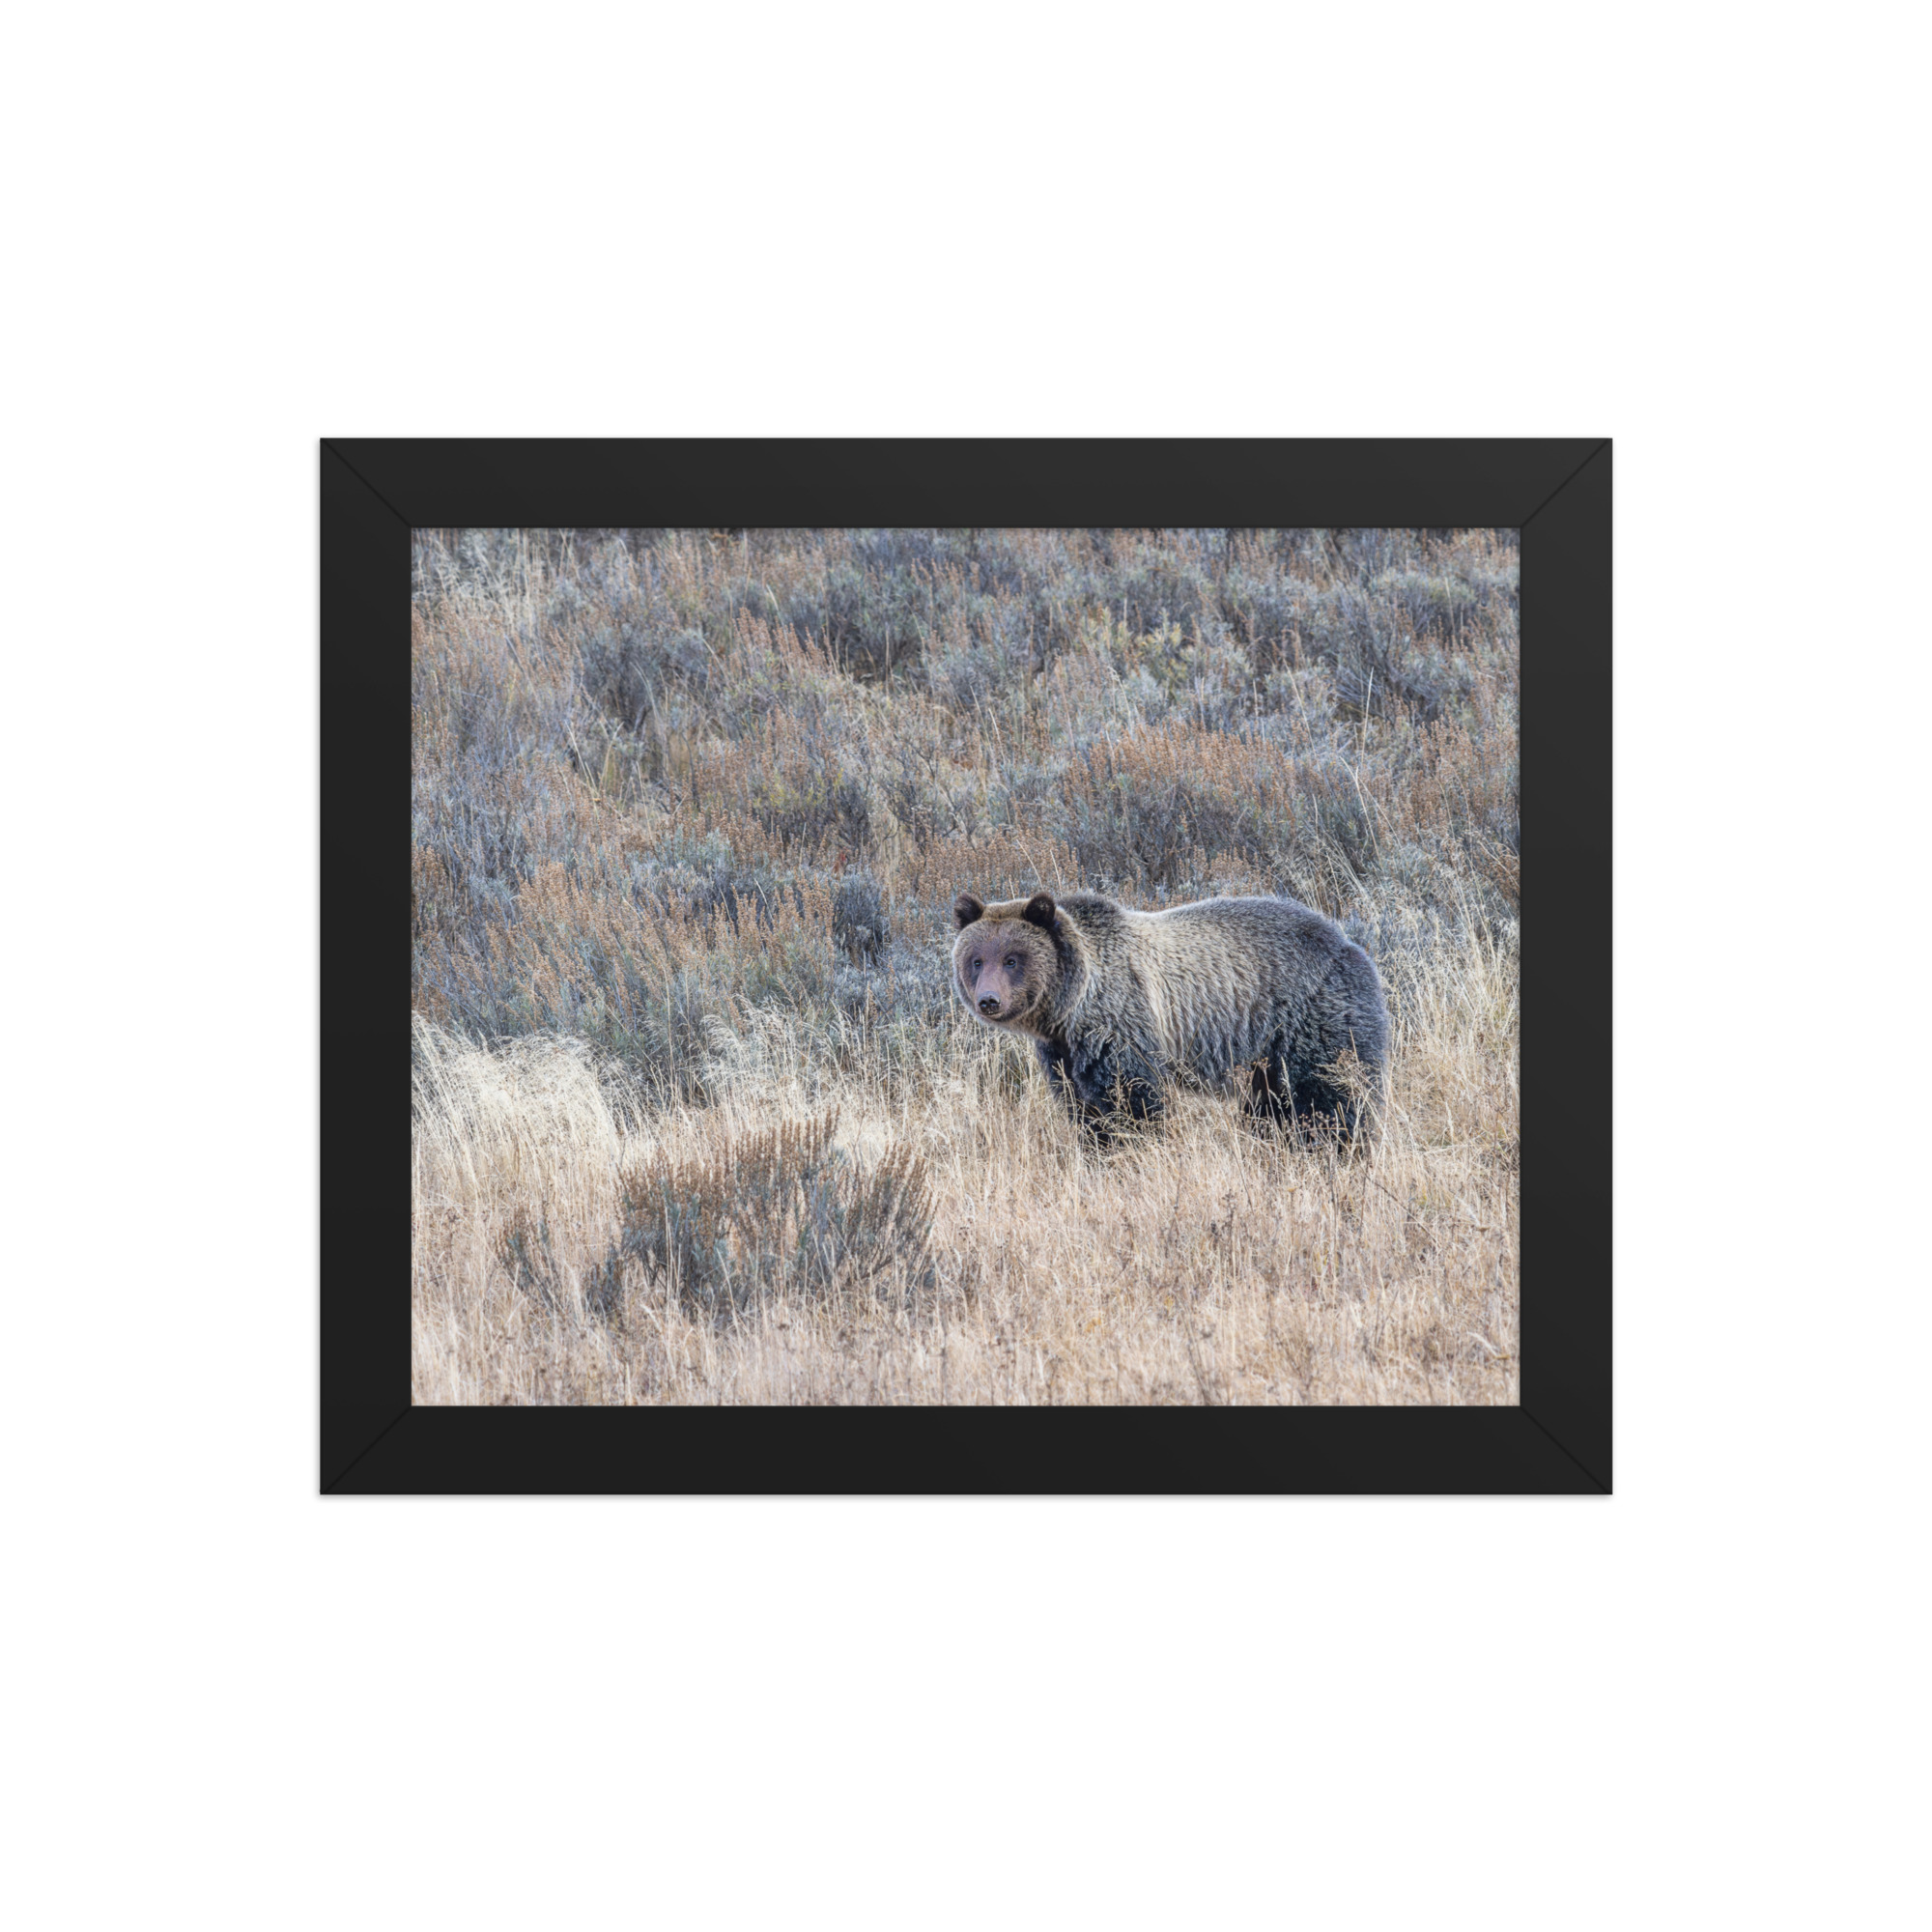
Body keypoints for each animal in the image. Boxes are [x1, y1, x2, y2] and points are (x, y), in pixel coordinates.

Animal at [951, 888, 1388, 1144]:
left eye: (1012, 959)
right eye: (976, 960)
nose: (989, 1000)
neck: (1070, 1008)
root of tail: (1349, 943)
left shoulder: (1122, 1024)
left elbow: (1134, 1101)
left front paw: (1135, 1147)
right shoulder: (1063, 1053)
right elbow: (1083, 1108)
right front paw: (1097, 1147)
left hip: (1312, 1019)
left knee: (1330, 1096)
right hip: (1266, 1057)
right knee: (1271, 1107)